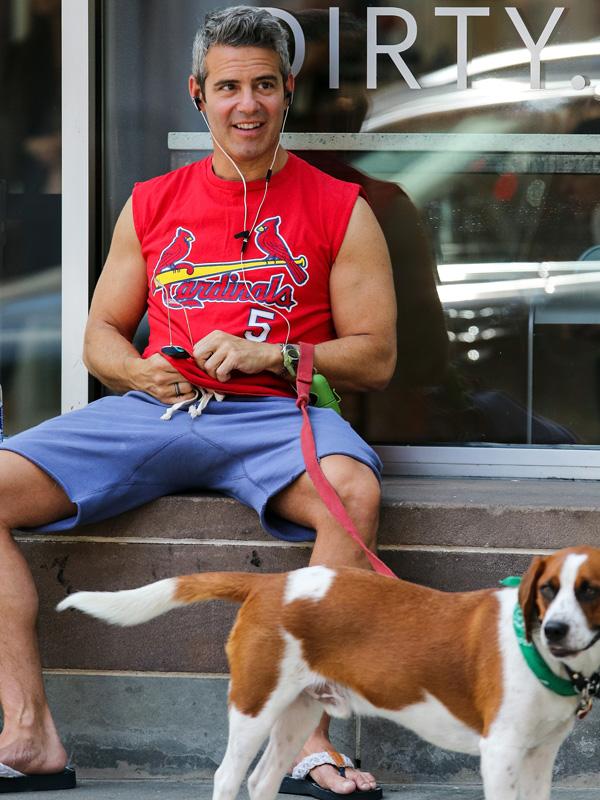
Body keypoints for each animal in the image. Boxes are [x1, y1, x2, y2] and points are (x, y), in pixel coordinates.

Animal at [57, 544, 600, 800]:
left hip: (298, 712)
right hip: (255, 702)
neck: (546, 659)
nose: (553, 630)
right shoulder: (500, 753)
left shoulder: (539, 757)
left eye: (590, 590)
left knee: (262, 781)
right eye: (548, 589)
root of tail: (269, 584)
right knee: (228, 777)